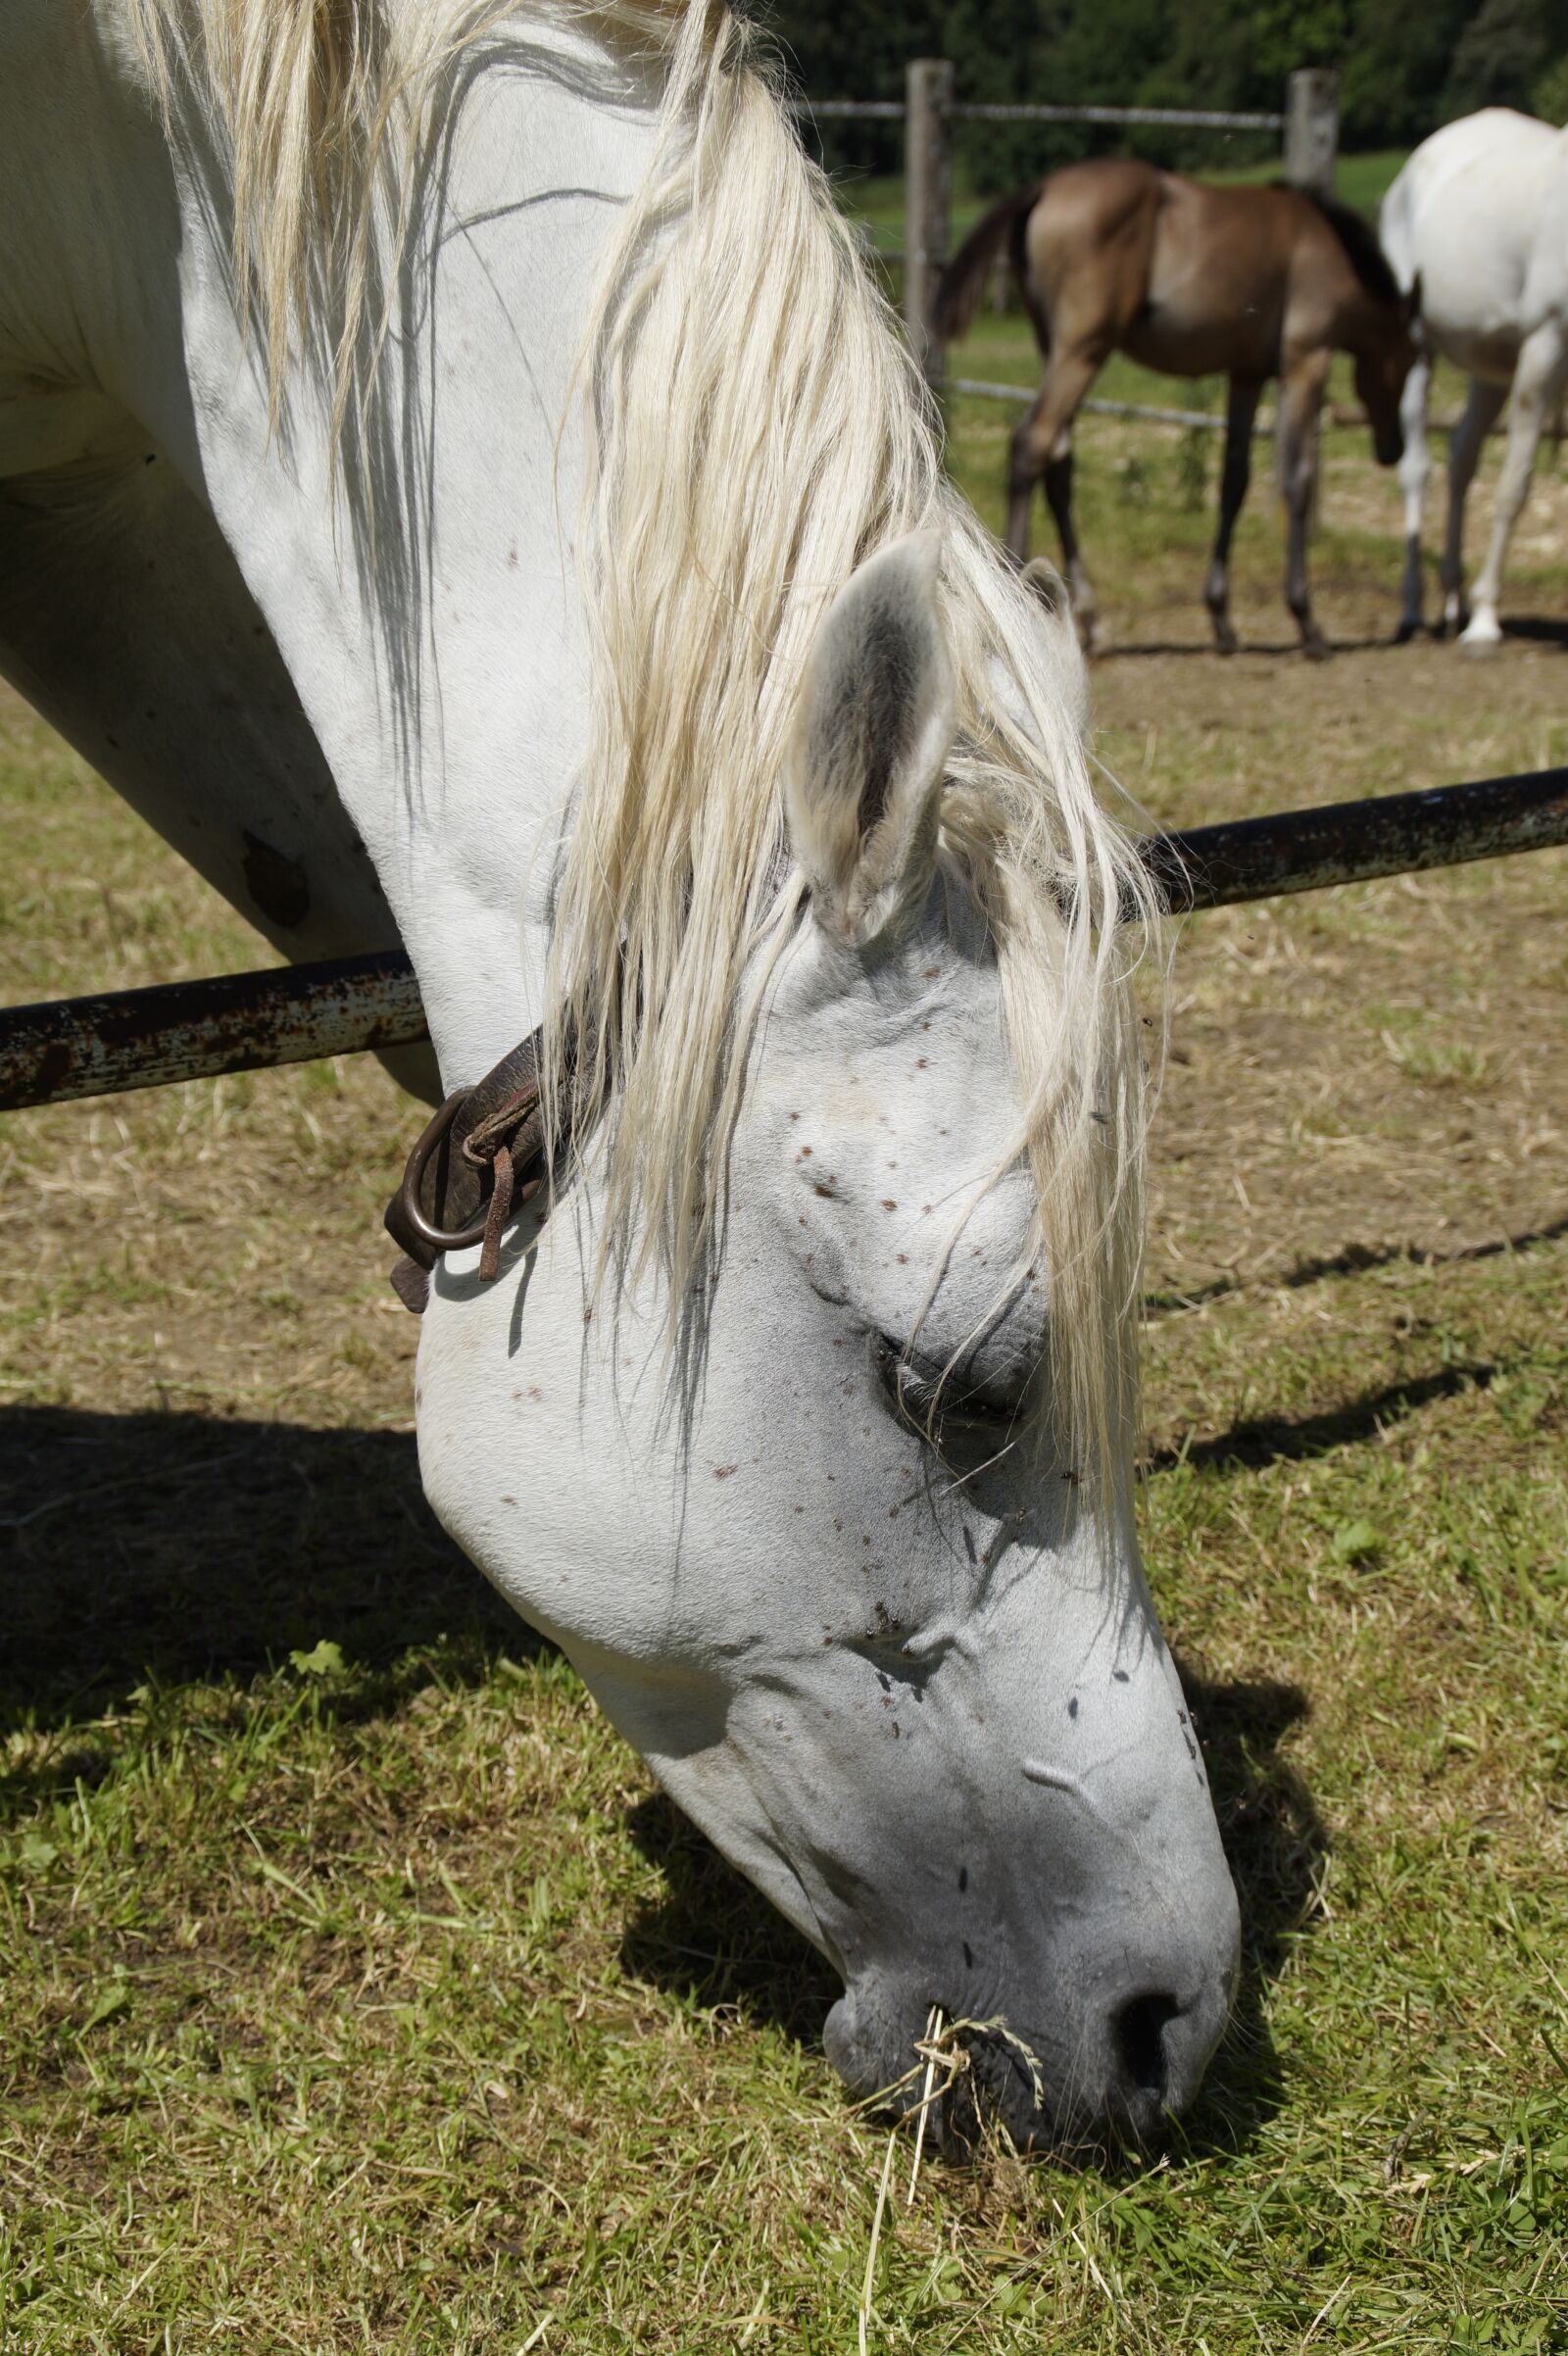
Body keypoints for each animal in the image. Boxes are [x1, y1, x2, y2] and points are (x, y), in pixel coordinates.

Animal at [935, 159, 1416, 656]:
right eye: (1410, 358)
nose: (1393, 449)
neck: (1326, 248)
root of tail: (1043, 187)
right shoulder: (1306, 363)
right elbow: (1297, 479)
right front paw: (1307, 621)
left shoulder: (1246, 373)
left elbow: (1234, 482)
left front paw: (1222, 618)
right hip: (1082, 350)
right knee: (1032, 443)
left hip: (1057, 349)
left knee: (1058, 462)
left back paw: (1087, 614)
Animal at [1380, 109, 1568, 651]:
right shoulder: (1545, 347)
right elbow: (1514, 488)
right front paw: (1486, 621)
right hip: (1416, 346)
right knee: (1416, 469)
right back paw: (1417, 610)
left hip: (1491, 369)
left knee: (1462, 453)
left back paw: (1452, 601)